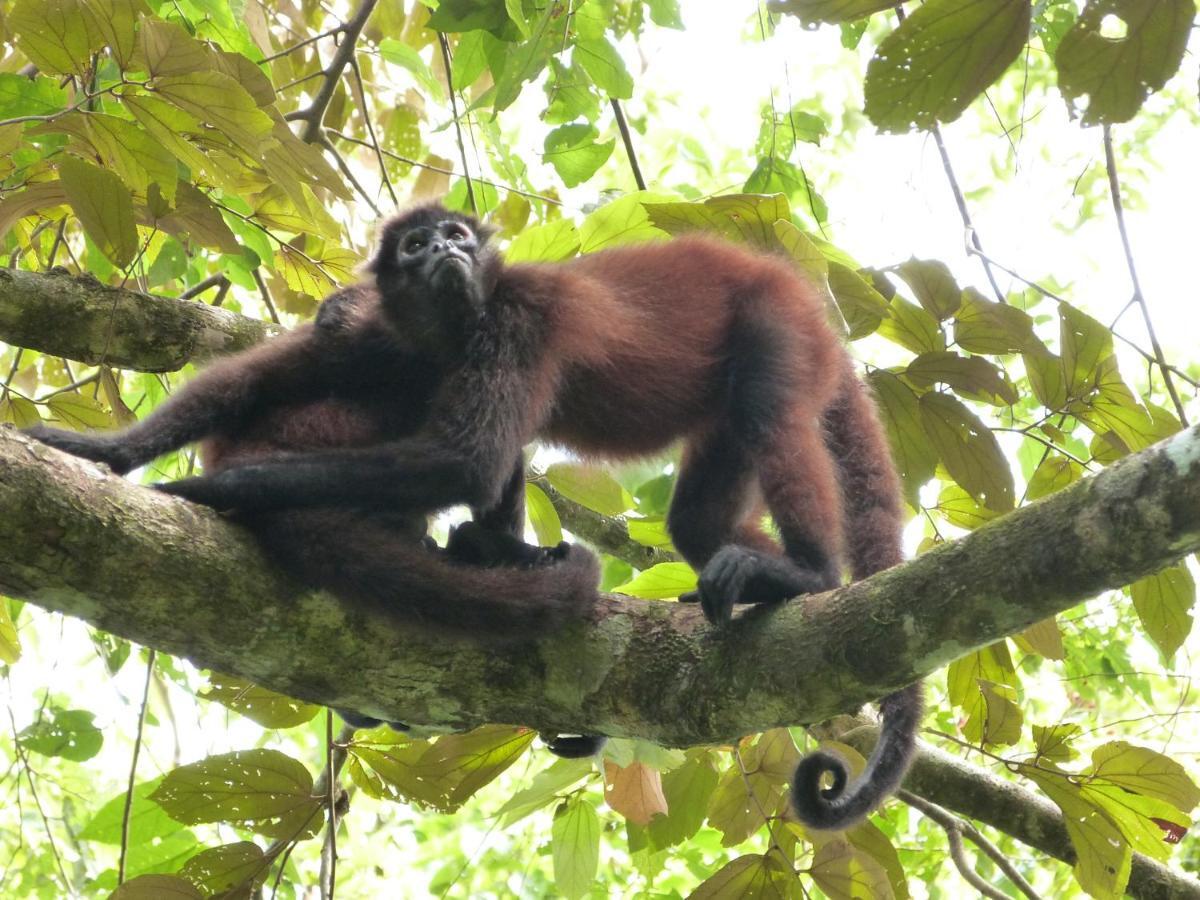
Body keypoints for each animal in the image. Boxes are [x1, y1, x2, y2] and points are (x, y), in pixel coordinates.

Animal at [98, 202, 921, 830]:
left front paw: (228, 486)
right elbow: (262, 382)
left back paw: (808, 573)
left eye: (454, 234)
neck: (454, 330)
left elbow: (468, 459)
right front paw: (113, 450)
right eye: (417, 245)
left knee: (770, 416)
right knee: (693, 516)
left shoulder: (518, 321)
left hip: (774, 325)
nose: (446, 250)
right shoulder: (384, 343)